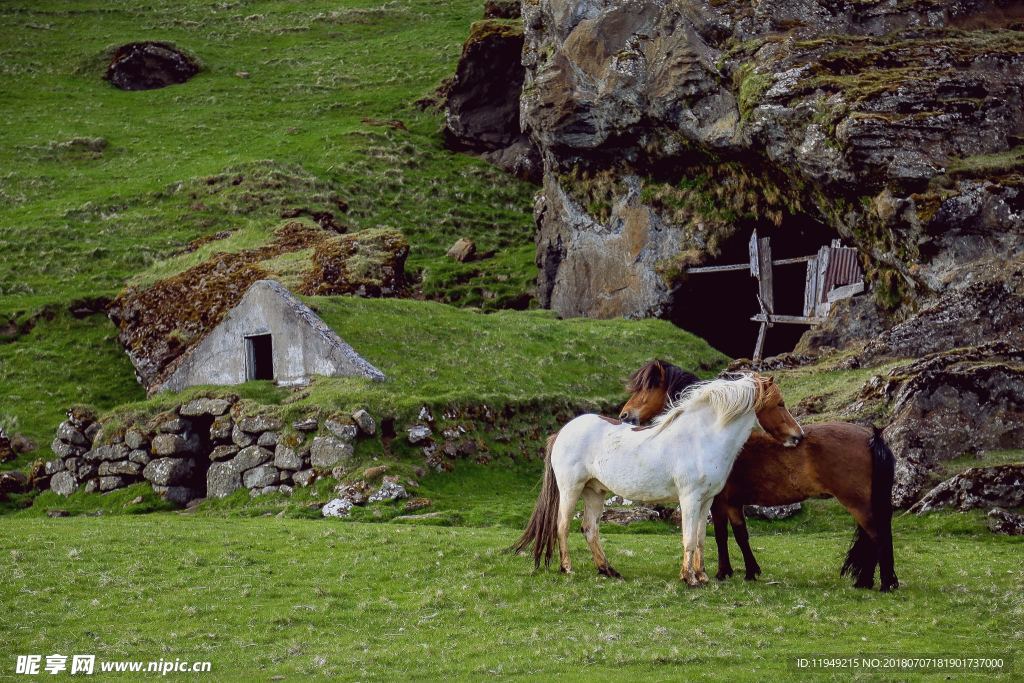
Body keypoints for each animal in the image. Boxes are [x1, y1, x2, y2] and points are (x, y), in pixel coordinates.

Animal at [512, 370, 798, 585]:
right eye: (779, 404)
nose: (798, 435)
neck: (701, 438)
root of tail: (562, 432)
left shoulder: (706, 501)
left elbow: (701, 539)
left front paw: (702, 576)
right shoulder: (690, 498)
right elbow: (688, 538)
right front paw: (689, 578)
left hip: (595, 492)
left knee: (589, 528)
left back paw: (608, 570)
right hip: (571, 489)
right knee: (562, 526)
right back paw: (567, 568)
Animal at [614, 358, 897, 593]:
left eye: (646, 389)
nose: (624, 415)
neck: (711, 434)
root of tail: (872, 436)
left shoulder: (719, 502)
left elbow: (723, 534)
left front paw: (725, 572)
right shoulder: (731, 503)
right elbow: (740, 534)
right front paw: (748, 572)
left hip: (857, 504)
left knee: (878, 536)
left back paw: (885, 584)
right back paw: (866, 582)